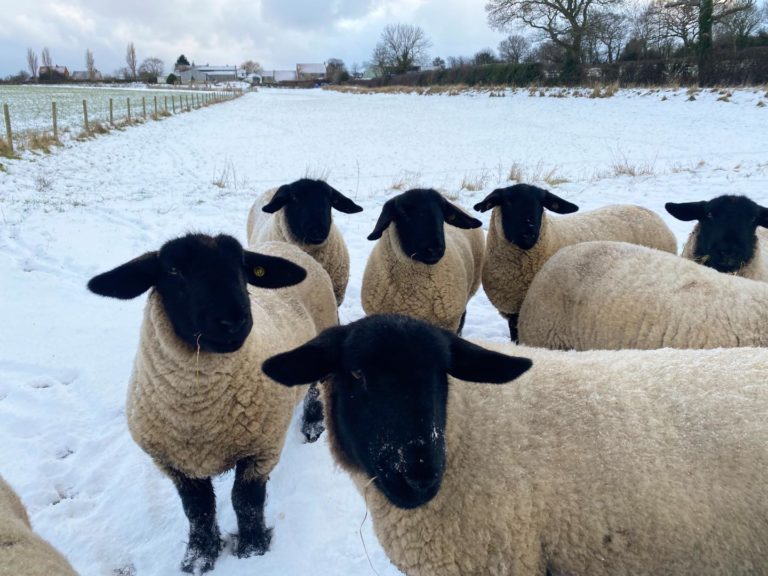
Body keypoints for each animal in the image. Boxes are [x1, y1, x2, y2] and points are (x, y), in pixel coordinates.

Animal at [87, 232, 336, 572]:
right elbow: (198, 510)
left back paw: (313, 424)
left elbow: (245, 501)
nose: (234, 322)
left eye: (243, 267)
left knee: (315, 387)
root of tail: (282, 245)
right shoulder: (175, 464)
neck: (201, 413)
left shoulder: (261, 449)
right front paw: (199, 556)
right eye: (173, 270)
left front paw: (252, 549)